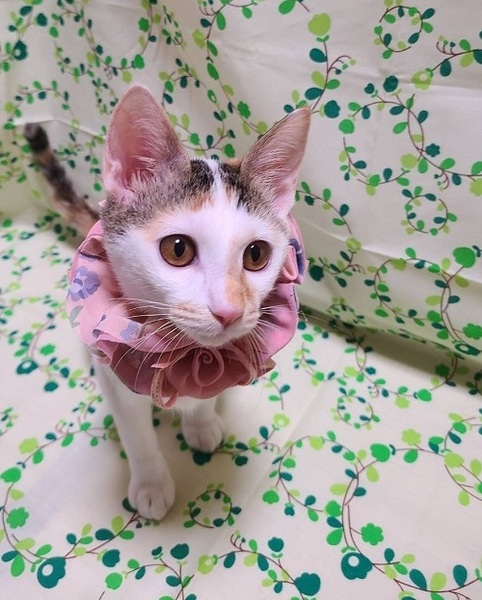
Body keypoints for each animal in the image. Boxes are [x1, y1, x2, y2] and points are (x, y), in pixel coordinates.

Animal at [25, 84, 311, 520]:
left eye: (257, 255)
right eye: (177, 249)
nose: (229, 310)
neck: (182, 354)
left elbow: (207, 395)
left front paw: (201, 424)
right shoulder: (118, 379)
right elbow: (137, 435)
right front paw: (151, 484)